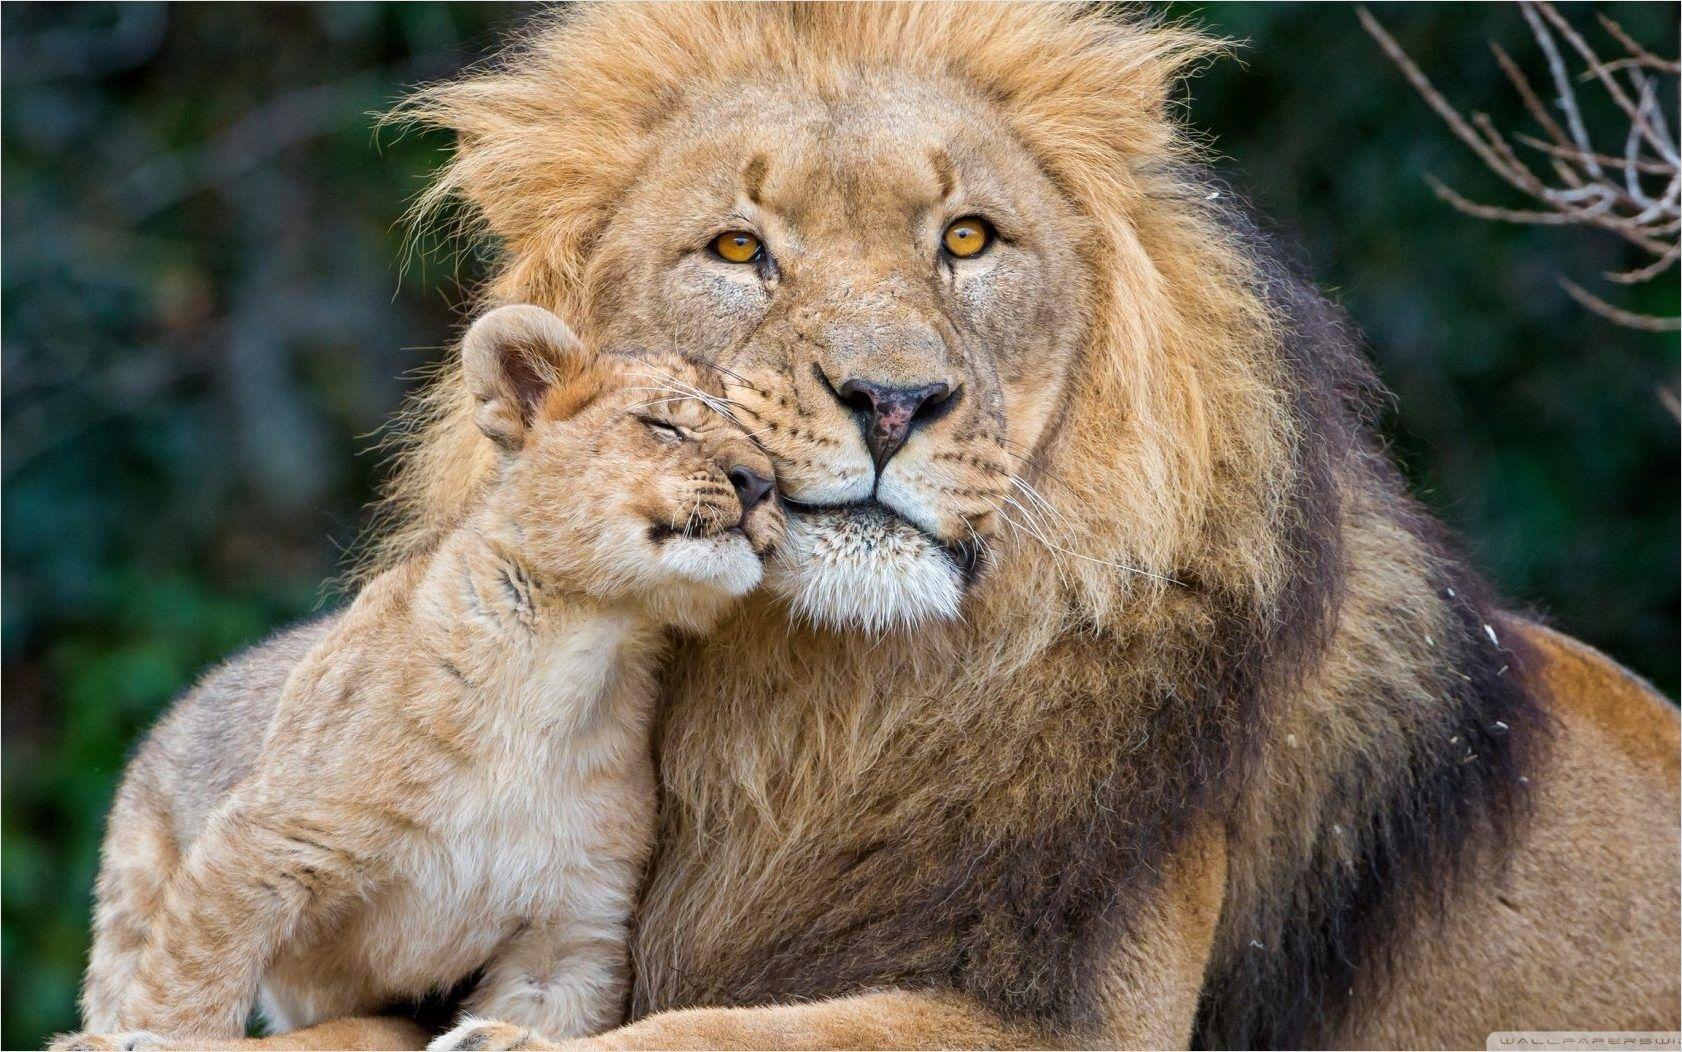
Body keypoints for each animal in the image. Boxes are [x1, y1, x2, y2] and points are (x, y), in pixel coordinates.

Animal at [87, 4, 1680, 1049]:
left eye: (966, 238)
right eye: (738, 249)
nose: (893, 399)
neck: (823, 701)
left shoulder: (1053, 1015)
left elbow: (680, 1040)